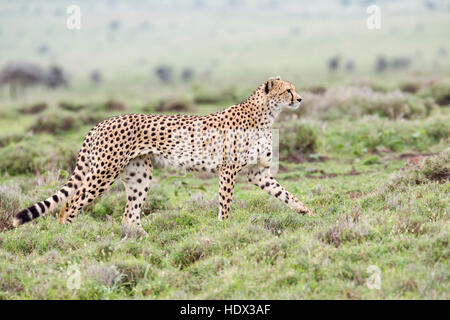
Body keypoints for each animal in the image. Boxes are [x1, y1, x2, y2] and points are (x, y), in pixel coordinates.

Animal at [13, 75, 310, 235]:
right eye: (288, 90)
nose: (299, 99)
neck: (266, 114)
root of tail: (101, 122)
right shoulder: (228, 169)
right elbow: (225, 203)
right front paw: (224, 228)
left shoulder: (258, 172)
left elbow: (284, 193)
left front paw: (304, 210)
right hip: (103, 173)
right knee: (70, 204)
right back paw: (68, 236)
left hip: (140, 175)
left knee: (129, 215)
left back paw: (140, 239)